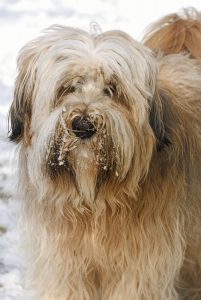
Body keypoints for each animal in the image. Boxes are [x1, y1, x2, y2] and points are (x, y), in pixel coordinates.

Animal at [8, 7, 201, 300]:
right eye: (67, 87)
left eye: (112, 89)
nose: (83, 125)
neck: (94, 203)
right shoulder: (63, 264)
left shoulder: (140, 267)